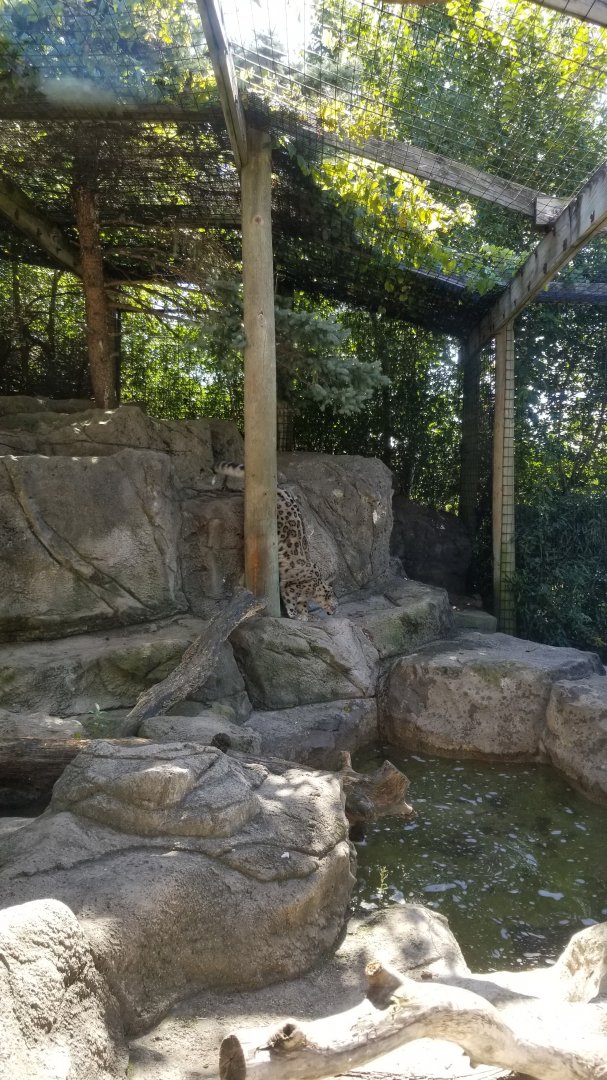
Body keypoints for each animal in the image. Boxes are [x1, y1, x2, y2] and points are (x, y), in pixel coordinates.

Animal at [213, 461, 337, 621]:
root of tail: (279, 488)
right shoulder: (290, 587)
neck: (312, 590)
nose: (333, 612)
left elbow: (302, 604)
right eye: (334, 606)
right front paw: (295, 614)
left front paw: (307, 615)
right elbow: (291, 600)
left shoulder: (302, 597)